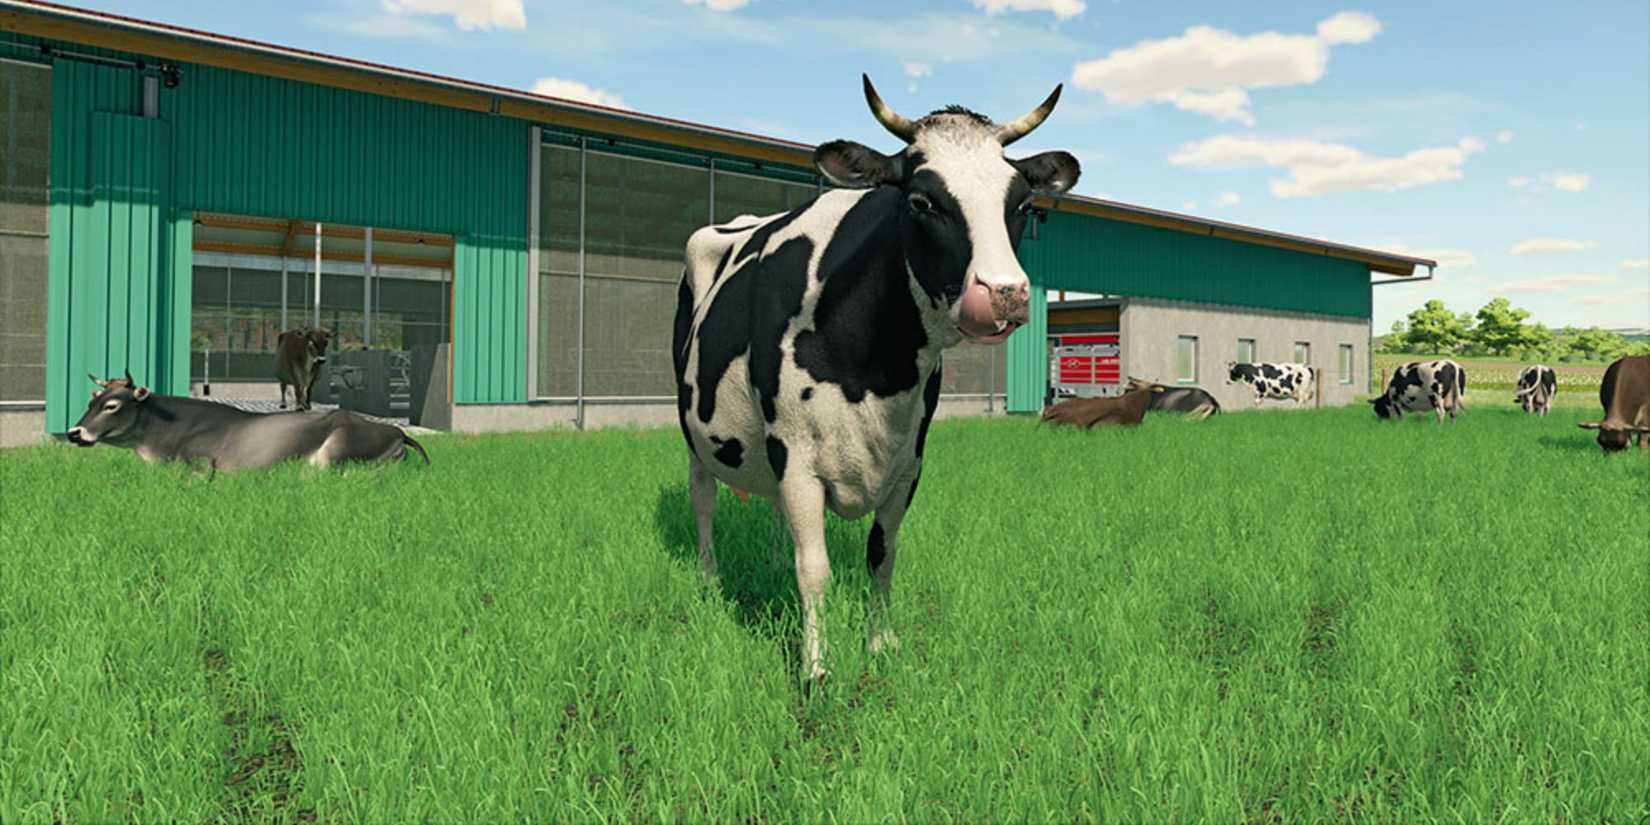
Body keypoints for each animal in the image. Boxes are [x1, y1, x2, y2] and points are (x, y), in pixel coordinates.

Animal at [67, 371, 429, 472]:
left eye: (112, 405)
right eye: (90, 401)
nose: (74, 432)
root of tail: (397, 431)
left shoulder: (203, 465)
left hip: (337, 449)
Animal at [672, 75, 1080, 680]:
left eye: (1021, 203)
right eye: (921, 201)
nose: (1004, 293)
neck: (875, 375)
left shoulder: (908, 462)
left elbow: (882, 555)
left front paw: (881, 645)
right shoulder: (796, 457)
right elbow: (814, 568)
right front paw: (816, 670)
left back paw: (771, 559)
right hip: (696, 431)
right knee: (704, 500)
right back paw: (708, 579)